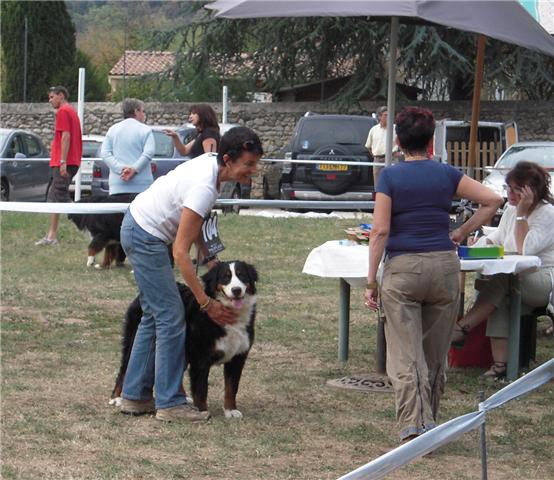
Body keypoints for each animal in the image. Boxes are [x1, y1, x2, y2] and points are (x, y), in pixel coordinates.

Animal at [109, 260, 258, 418]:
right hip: (133, 341)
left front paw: (231, 410)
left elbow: (231, 387)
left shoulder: (238, 357)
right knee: (124, 369)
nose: (236, 290)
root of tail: (141, 297)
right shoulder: (200, 359)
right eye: (225, 277)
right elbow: (201, 390)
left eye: (242, 275)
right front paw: (202, 411)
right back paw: (116, 398)